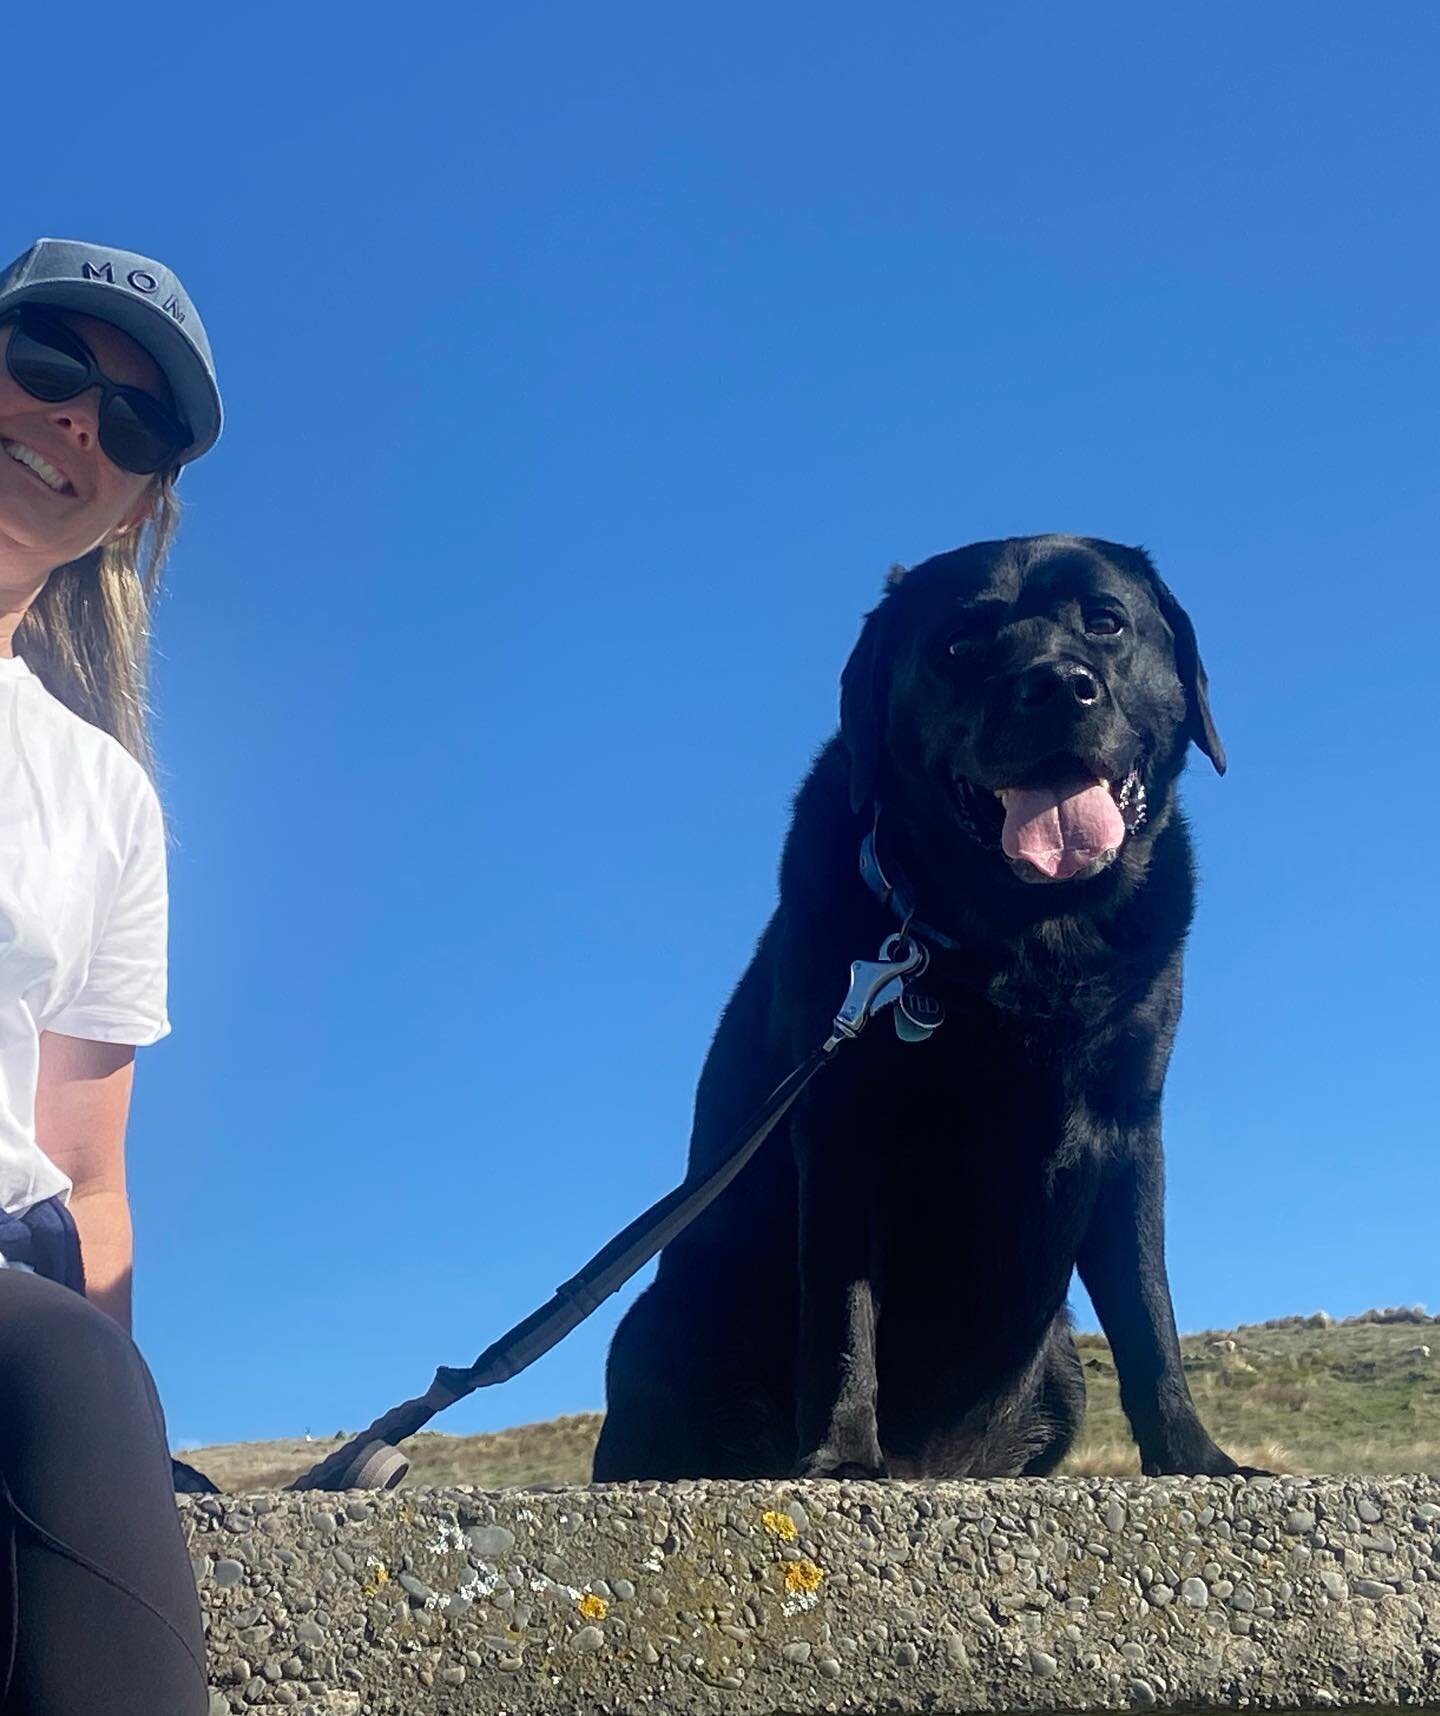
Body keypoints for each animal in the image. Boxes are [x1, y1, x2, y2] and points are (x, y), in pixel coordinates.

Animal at [590, 538, 1256, 1489]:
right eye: (957, 646)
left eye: (1106, 621)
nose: (1057, 685)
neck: (1020, 939)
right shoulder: (841, 1123)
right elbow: (843, 1310)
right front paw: (840, 1455)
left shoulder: (1129, 1122)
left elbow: (1147, 1310)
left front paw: (1196, 1459)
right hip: (659, 1322)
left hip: (1059, 1367)